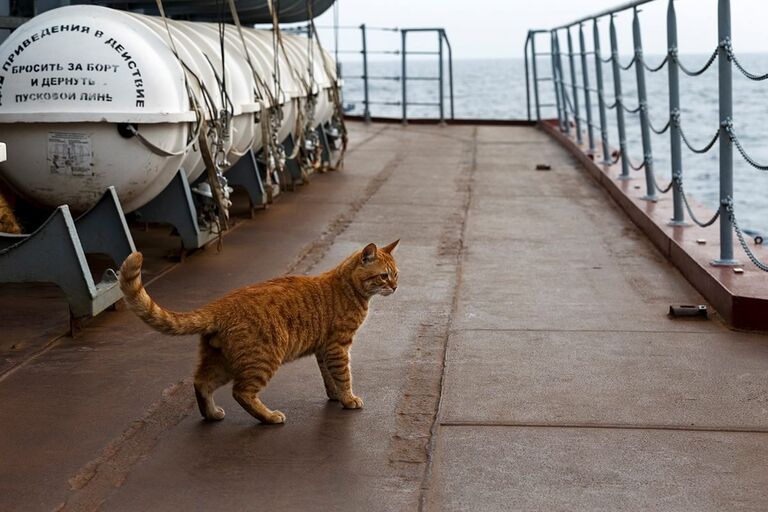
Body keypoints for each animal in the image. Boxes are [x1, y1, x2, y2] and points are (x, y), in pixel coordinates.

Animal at [118, 240, 402, 424]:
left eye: (397, 275)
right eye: (384, 276)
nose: (396, 287)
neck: (348, 287)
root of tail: (220, 305)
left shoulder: (323, 349)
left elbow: (329, 377)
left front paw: (335, 396)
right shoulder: (338, 346)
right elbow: (343, 375)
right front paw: (348, 399)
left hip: (221, 361)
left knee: (201, 382)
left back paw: (211, 414)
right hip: (263, 358)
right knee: (241, 392)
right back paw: (269, 417)